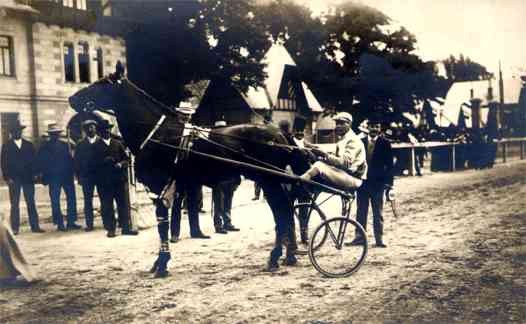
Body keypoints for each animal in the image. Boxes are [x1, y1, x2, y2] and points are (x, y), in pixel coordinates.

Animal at [67, 72, 312, 278]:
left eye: (103, 83)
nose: (72, 98)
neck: (157, 134)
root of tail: (280, 134)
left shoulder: (158, 186)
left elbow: (162, 224)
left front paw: (161, 264)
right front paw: (159, 262)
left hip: (269, 180)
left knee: (283, 212)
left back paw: (277, 255)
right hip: (270, 180)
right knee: (284, 213)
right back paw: (286, 255)